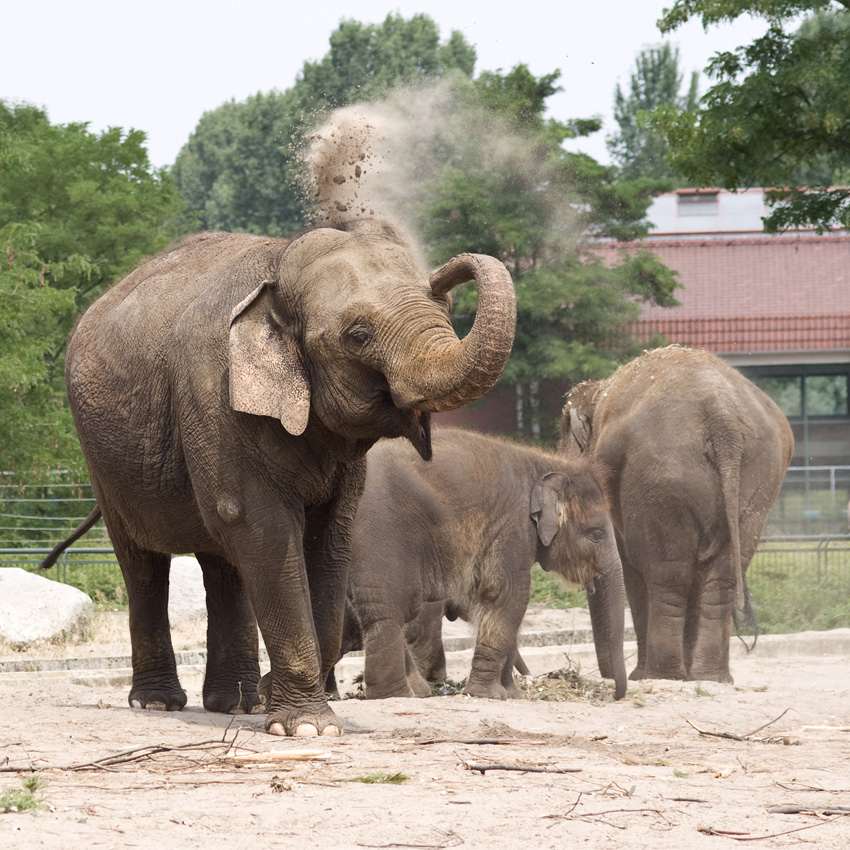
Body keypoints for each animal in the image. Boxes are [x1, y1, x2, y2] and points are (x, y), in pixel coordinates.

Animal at [58, 219, 516, 736]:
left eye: (447, 309)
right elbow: (265, 528)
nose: (450, 270)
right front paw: (307, 727)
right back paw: (159, 703)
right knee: (144, 563)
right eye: (359, 335)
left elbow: (328, 540)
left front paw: (274, 701)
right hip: (103, 461)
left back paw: (237, 703)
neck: (277, 269)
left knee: (222, 564)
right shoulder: (215, 395)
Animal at [346, 428, 628, 700]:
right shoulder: (513, 527)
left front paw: (512, 694)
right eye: (596, 535)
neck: (545, 463)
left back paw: (416, 692)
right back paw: (396, 695)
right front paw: (489, 694)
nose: (613, 695)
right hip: (380, 533)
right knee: (388, 611)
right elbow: (509, 595)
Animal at [560, 344, 792, 684]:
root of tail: (722, 418)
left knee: (667, 572)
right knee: (719, 576)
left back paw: (660, 675)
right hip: (757, 477)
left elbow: (629, 565)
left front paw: (639, 676)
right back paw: (709, 677)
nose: (608, 677)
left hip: (660, 478)